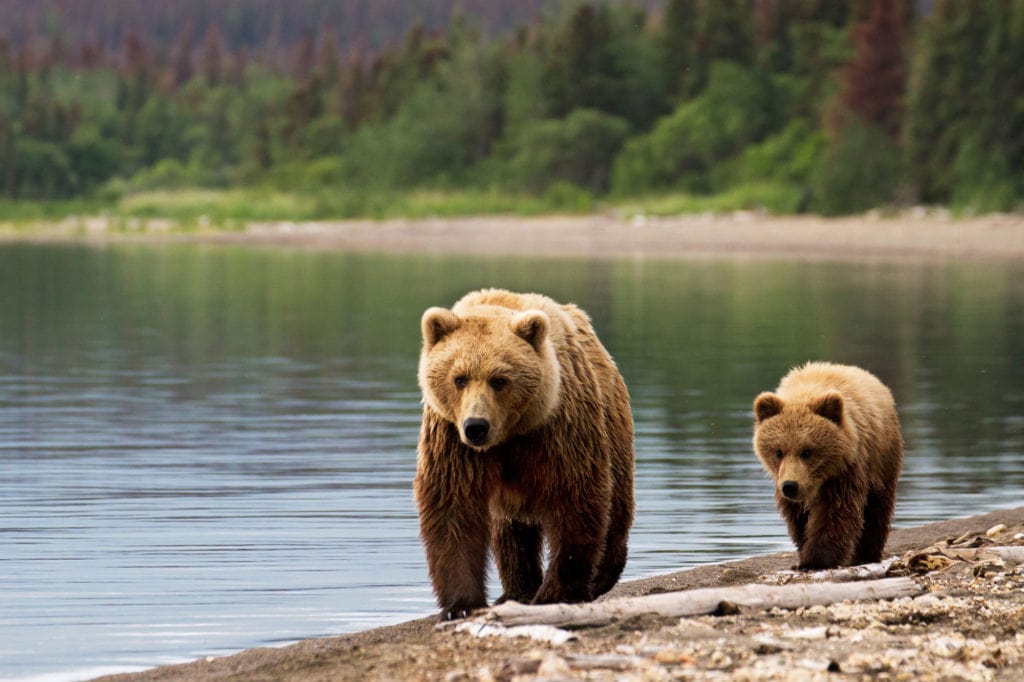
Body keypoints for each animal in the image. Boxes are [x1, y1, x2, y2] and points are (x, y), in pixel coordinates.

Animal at [414, 288, 635, 621]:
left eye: (499, 379)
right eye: (459, 378)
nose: (476, 426)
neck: (509, 435)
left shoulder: (557, 431)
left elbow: (575, 498)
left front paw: (558, 592)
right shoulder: (452, 441)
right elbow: (452, 509)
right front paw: (461, 605)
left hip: (612, 426)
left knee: (616, 506)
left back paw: (601, 576)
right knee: (509, 534)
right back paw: (516, 590)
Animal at [752, 361, 903, 570]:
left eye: (807, 451)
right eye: (778, 452)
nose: (790, 486)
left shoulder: (845, 469)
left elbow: (835, 511)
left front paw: (817, 559)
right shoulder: (785, 479)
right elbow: (798, 518)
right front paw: (804, 550)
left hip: (881, 459)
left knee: (877, 508)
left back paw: (866, 554)